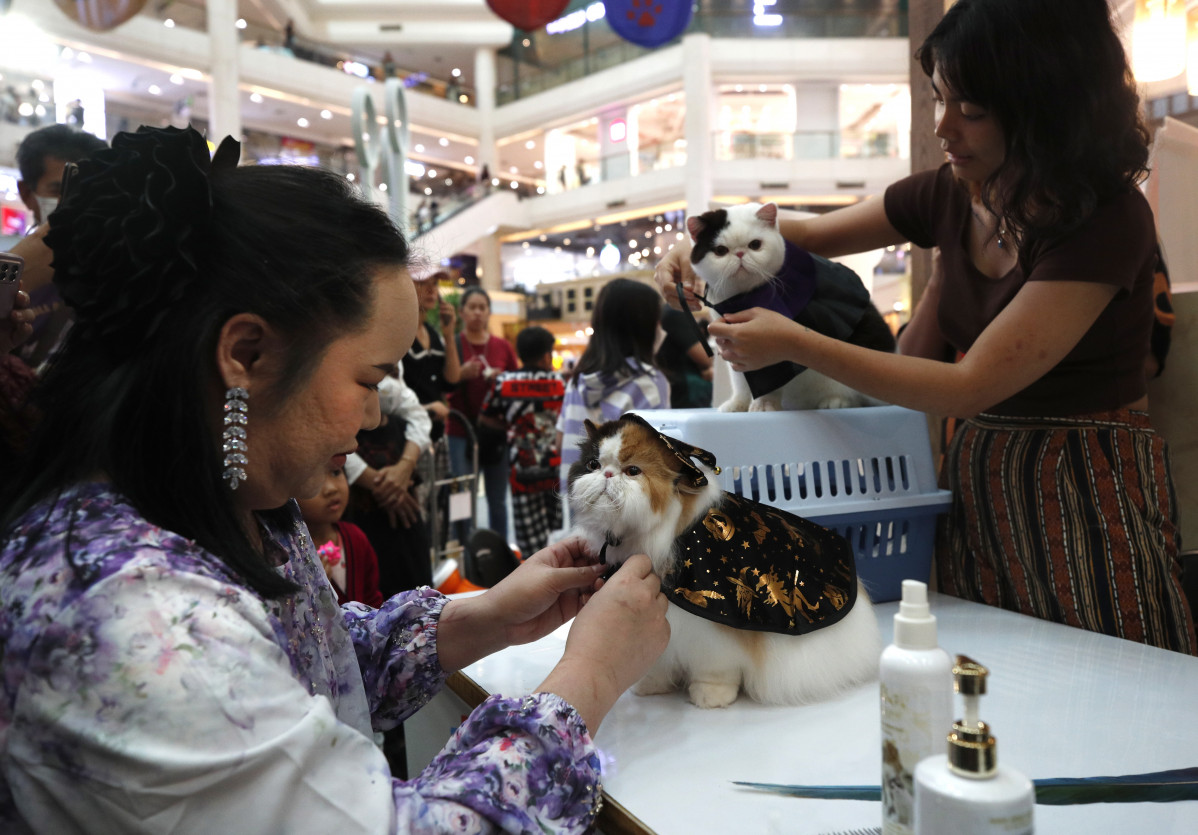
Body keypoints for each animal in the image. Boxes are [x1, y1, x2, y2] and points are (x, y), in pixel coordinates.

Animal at [570, 414, 881, 704]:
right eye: (592, 465)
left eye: (632, 471)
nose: (607, 474)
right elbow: (658, 664)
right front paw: (650, 686)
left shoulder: (711, 635)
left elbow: (714, 670)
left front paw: (710, 697)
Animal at [690, 202, 896, 409]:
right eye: (720, 250)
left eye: (755, 245)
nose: (740, 253)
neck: (741, 297)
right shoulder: (731, 344)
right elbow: (740, 382)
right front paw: (738, 405)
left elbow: (769, 378)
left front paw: (765, 405)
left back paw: (835, 401)